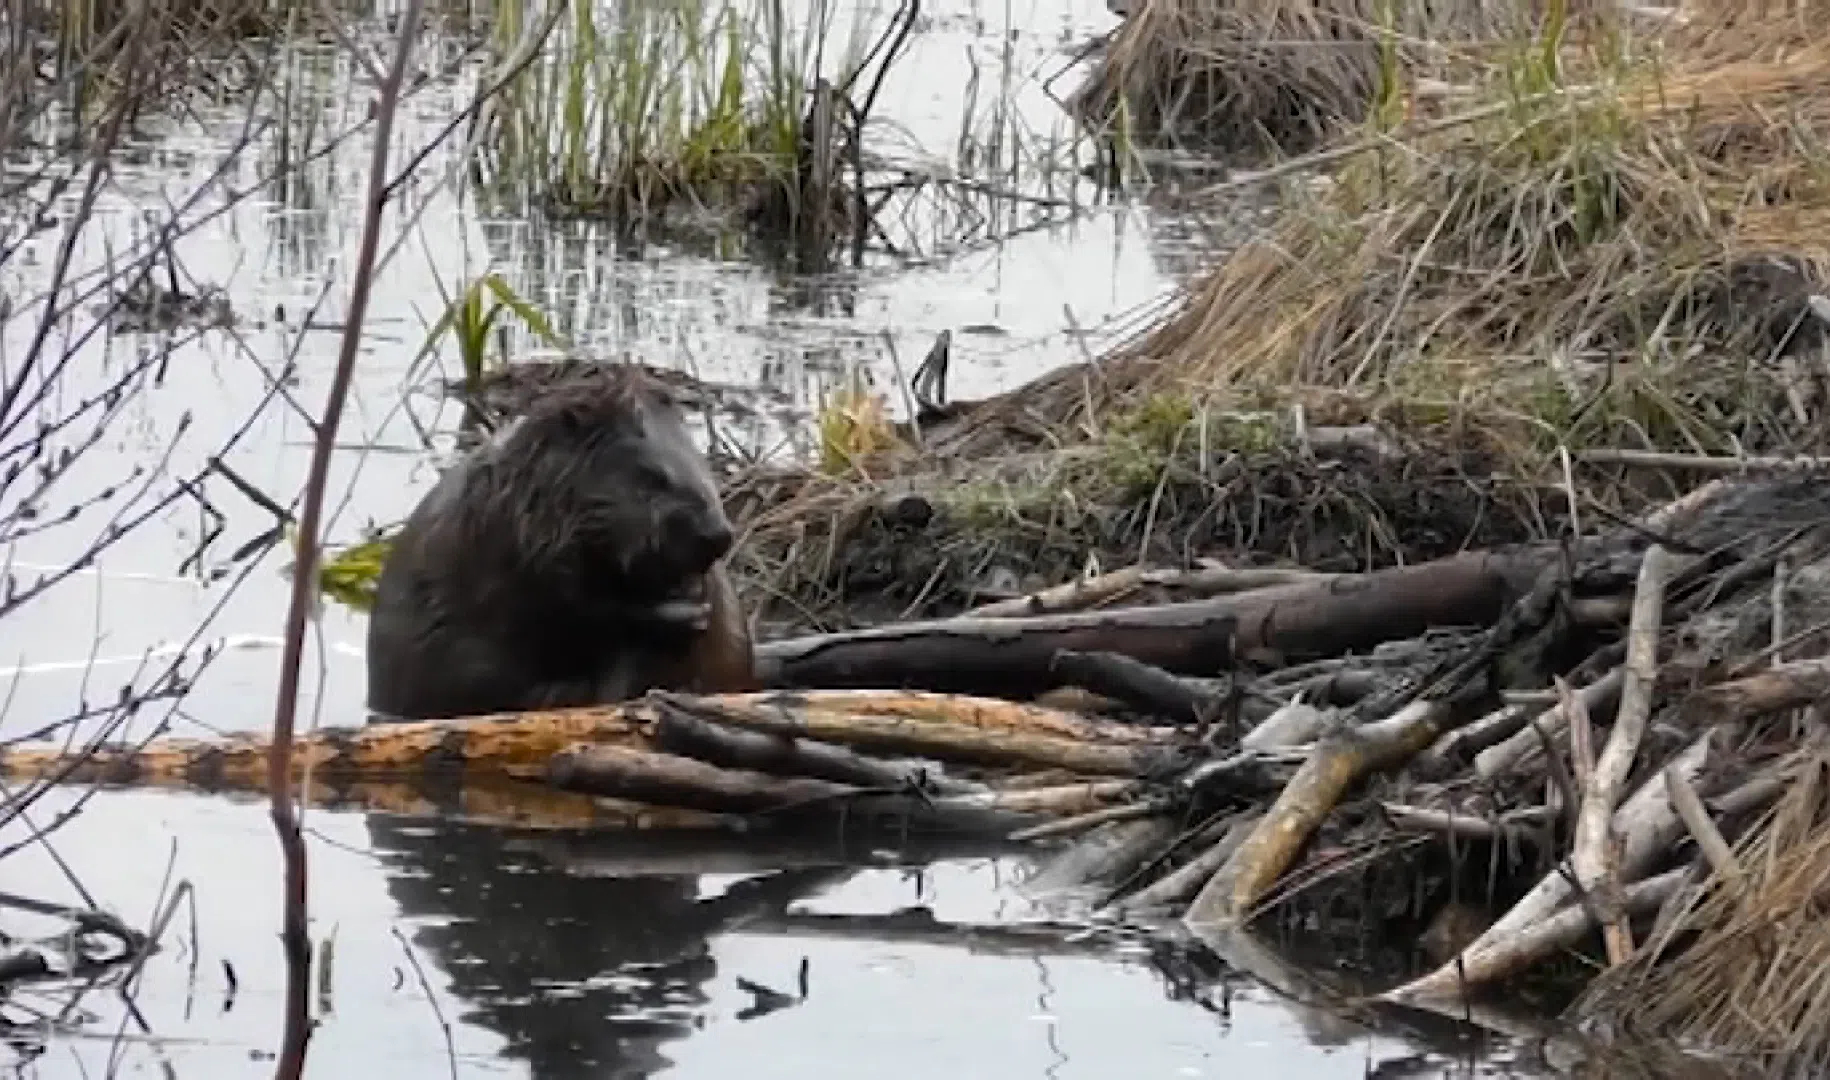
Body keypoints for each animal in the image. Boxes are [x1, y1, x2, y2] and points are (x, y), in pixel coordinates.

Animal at [367, 366, 753, 728]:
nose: (720, 534)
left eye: (702, 464)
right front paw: (685, 614)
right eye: (652, 476)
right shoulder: (508, 554)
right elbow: (569, 611)